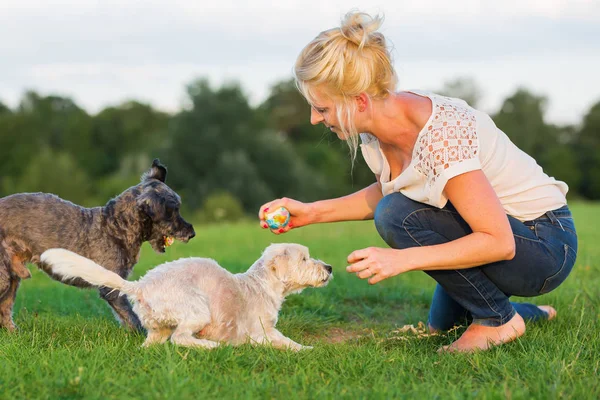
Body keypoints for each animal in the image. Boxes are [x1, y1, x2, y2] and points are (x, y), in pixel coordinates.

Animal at [0, 159, 195, 332]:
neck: (115, 227)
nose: (191, 233)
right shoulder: (112, 287)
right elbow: (130, 316)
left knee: (4, 310)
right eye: (172, 210)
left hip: (12, 278)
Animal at [42, 244, 332, 350]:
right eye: (304, 259)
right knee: (179, 338)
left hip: (157, 327)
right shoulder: (262, 331)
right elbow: (285, 342)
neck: (260, 284)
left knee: (154, 343)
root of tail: (140, 286)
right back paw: (210, 346)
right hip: (196, 308)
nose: (329, 268)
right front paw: (306, 350)